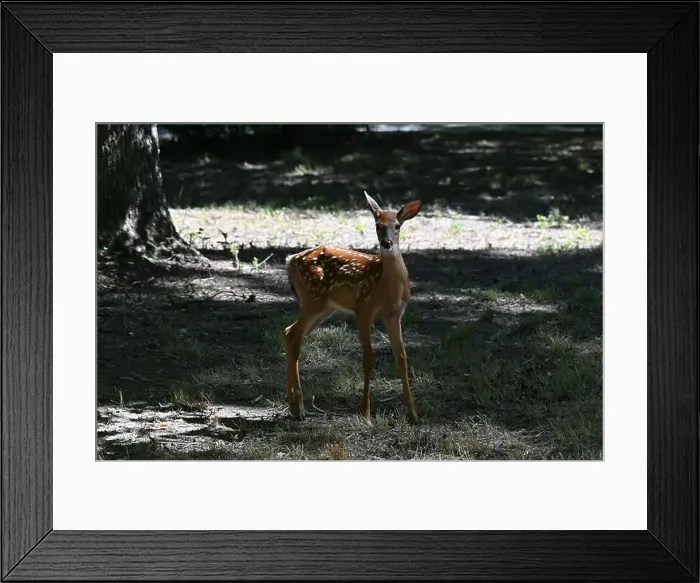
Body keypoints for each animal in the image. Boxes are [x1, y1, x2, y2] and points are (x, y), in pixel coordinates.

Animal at [283, 190, 422, 424]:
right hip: (313, 299)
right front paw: (365, 413)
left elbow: (402, 358)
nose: (386, 243)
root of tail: (290, 260)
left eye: (397, 225)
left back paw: (295, 407)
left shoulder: (394, 314)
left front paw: (412, 414)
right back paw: (299, 407)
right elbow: (368, 359)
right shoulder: (363, 310)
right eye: (377, 224)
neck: (387, 288)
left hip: (324, 307)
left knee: (290, 332)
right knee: (293, 334)